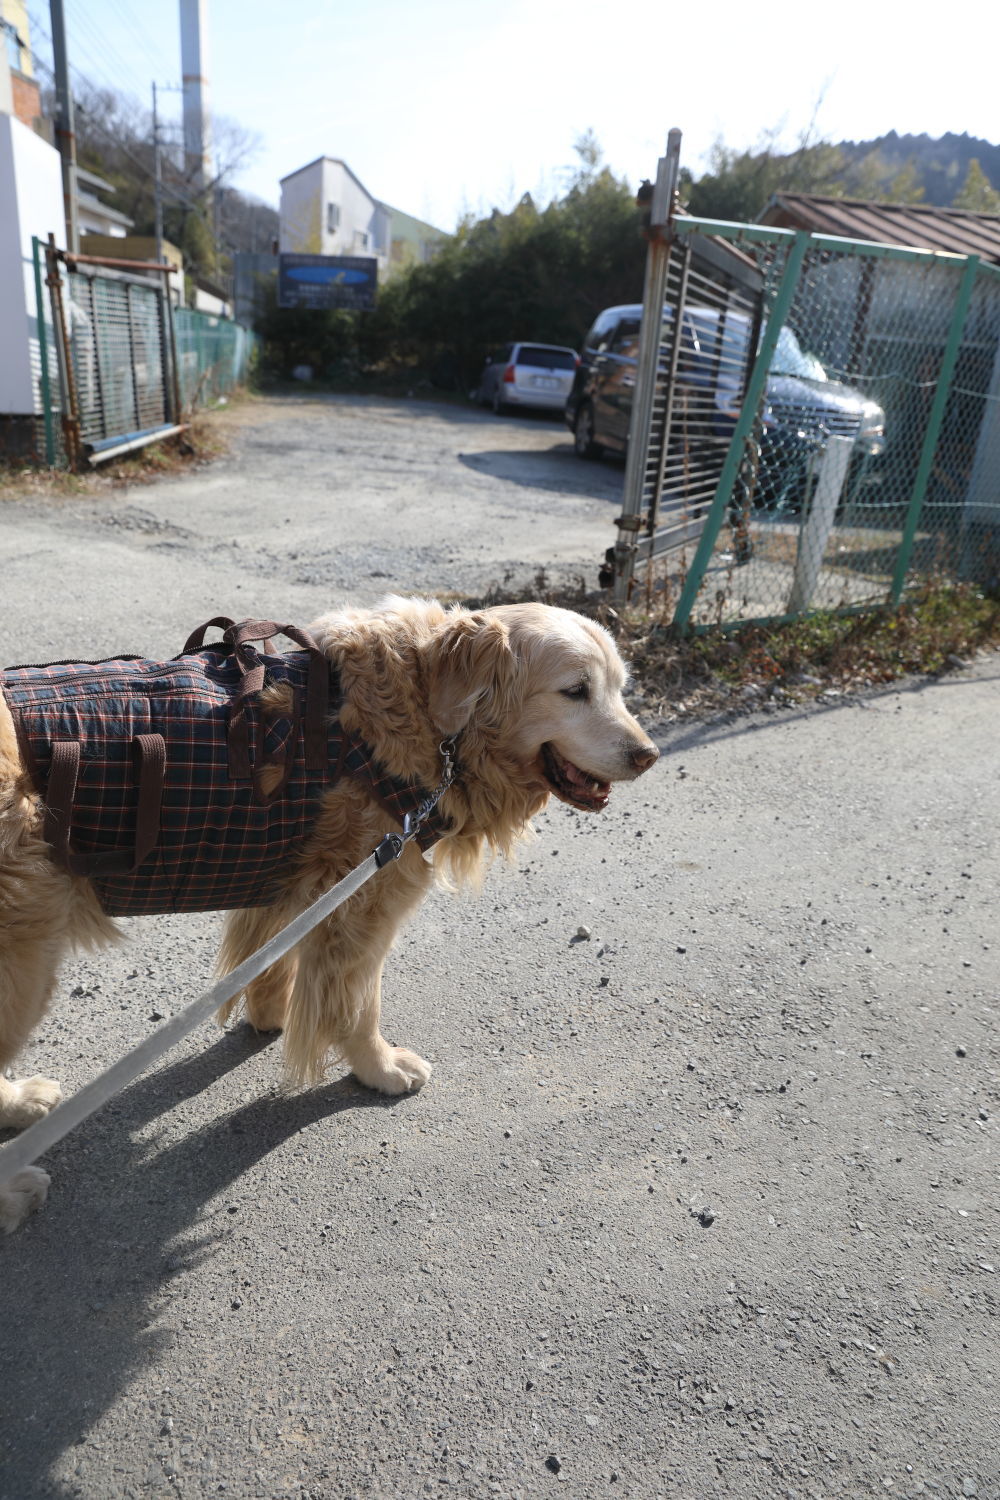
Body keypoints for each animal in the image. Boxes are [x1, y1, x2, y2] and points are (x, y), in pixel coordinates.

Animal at [1, 597, 656, 1230]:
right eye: (575, 690)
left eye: (620, 687)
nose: (648, 756)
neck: (426, 717)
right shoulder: (363, 902)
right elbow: (358, 1006)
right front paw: (379, 1068)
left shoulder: (296, 883)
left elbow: (274, 961)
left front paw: (269, 1014)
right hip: (24, 967)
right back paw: (13, 1187)